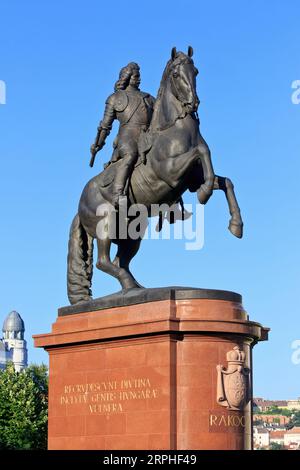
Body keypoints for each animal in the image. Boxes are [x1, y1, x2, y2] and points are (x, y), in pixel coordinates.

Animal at [67, 47, 244, 304]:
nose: (193, 102)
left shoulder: (191, 180)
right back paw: (129, 285)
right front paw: (205, 194)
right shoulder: (171, 174)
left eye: (195, 71)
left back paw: (135, 288)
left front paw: (236, 225)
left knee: (120, 262)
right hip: (105, 225)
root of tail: (79, 206)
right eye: (176, 74)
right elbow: (201, 152)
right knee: (103, 262)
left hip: (132, 234)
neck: (173, 131)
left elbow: (225, 180)